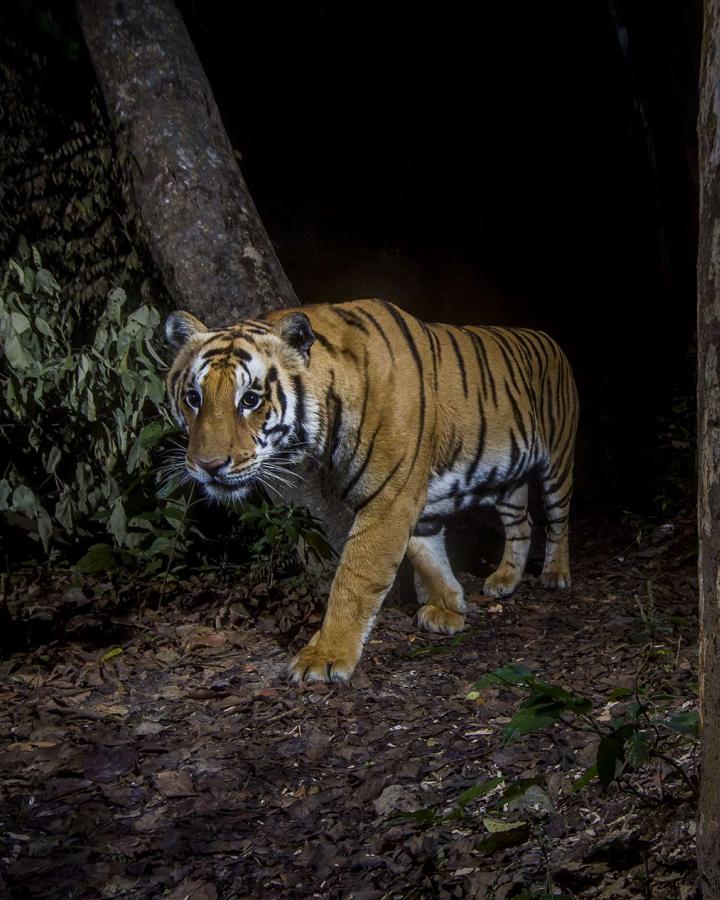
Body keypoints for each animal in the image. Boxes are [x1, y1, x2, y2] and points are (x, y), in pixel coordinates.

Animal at [165, 298, 580, 684]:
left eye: (250, 399)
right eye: (193, 398)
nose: (208, 465)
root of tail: (550, 339)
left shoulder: (390, 500)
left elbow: (356, 579)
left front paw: (325, 656)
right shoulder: (414, 501)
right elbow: (427, 554)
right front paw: (449, 607)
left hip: (558, 457)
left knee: (559, 519)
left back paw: (555, 574)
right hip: (506, 479)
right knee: (522, 524)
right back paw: (504, 580)